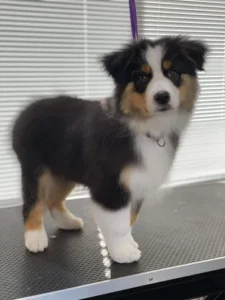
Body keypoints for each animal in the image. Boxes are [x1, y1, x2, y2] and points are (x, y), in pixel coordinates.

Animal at [11, 36, 207, 264]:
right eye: (142, 77)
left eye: (173, 73)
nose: (162, 97)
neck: (143, 126)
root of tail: (26, 111)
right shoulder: (110, 185)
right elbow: (118, 223)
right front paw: (123, 252)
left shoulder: (137, 181)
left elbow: (131, 217)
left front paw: (127, 244)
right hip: (35, 167)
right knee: (33, 202)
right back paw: (35, 238)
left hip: (65, 169)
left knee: (53, 200)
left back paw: (68, 222)